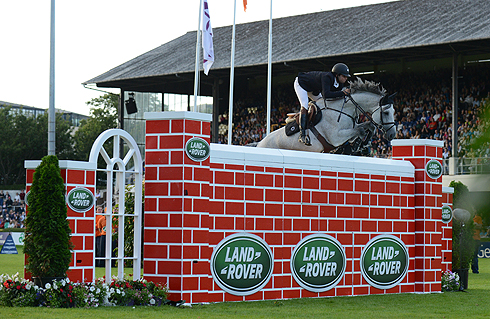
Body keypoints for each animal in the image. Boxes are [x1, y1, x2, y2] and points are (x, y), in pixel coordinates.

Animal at [258, 78, 396, 153]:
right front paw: (358, 144)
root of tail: (259, 144)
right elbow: (361, 130)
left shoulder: (349, 130)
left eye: (394, 112)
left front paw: (364, 143)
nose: (392, 135)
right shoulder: (336, 137)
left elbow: (368, 126)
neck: (344, 109)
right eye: (386, 112)